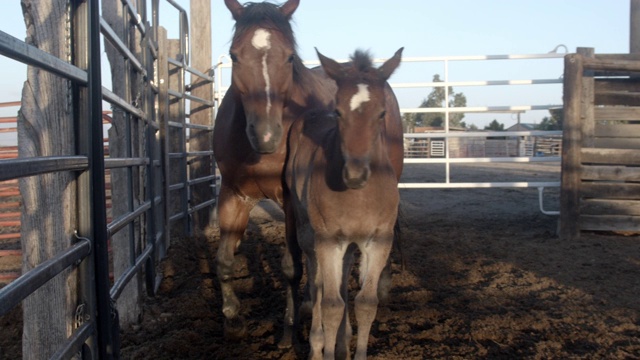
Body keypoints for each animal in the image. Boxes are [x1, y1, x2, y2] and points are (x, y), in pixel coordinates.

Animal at [288, 48, 402, 360]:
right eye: (338, 112)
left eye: (382, 113)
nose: (354, 174)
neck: (359, 197)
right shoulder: (328, 239)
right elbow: (331, 305)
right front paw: (323, 349)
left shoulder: (380, 240)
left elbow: (365, 303)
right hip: (308, 232)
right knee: (316, 282)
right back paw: (317, 344)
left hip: (349, 243)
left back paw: (341, 342)